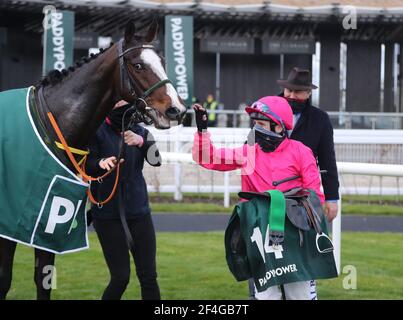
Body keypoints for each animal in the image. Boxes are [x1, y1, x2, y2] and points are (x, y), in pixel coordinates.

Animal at [0, 20, 186, 300]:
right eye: (137, 64)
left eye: (163, 61)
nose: (175, 109)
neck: (47, 123)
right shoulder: (11, 224)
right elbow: (5, 278)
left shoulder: (44, 222)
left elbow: (43, 277)